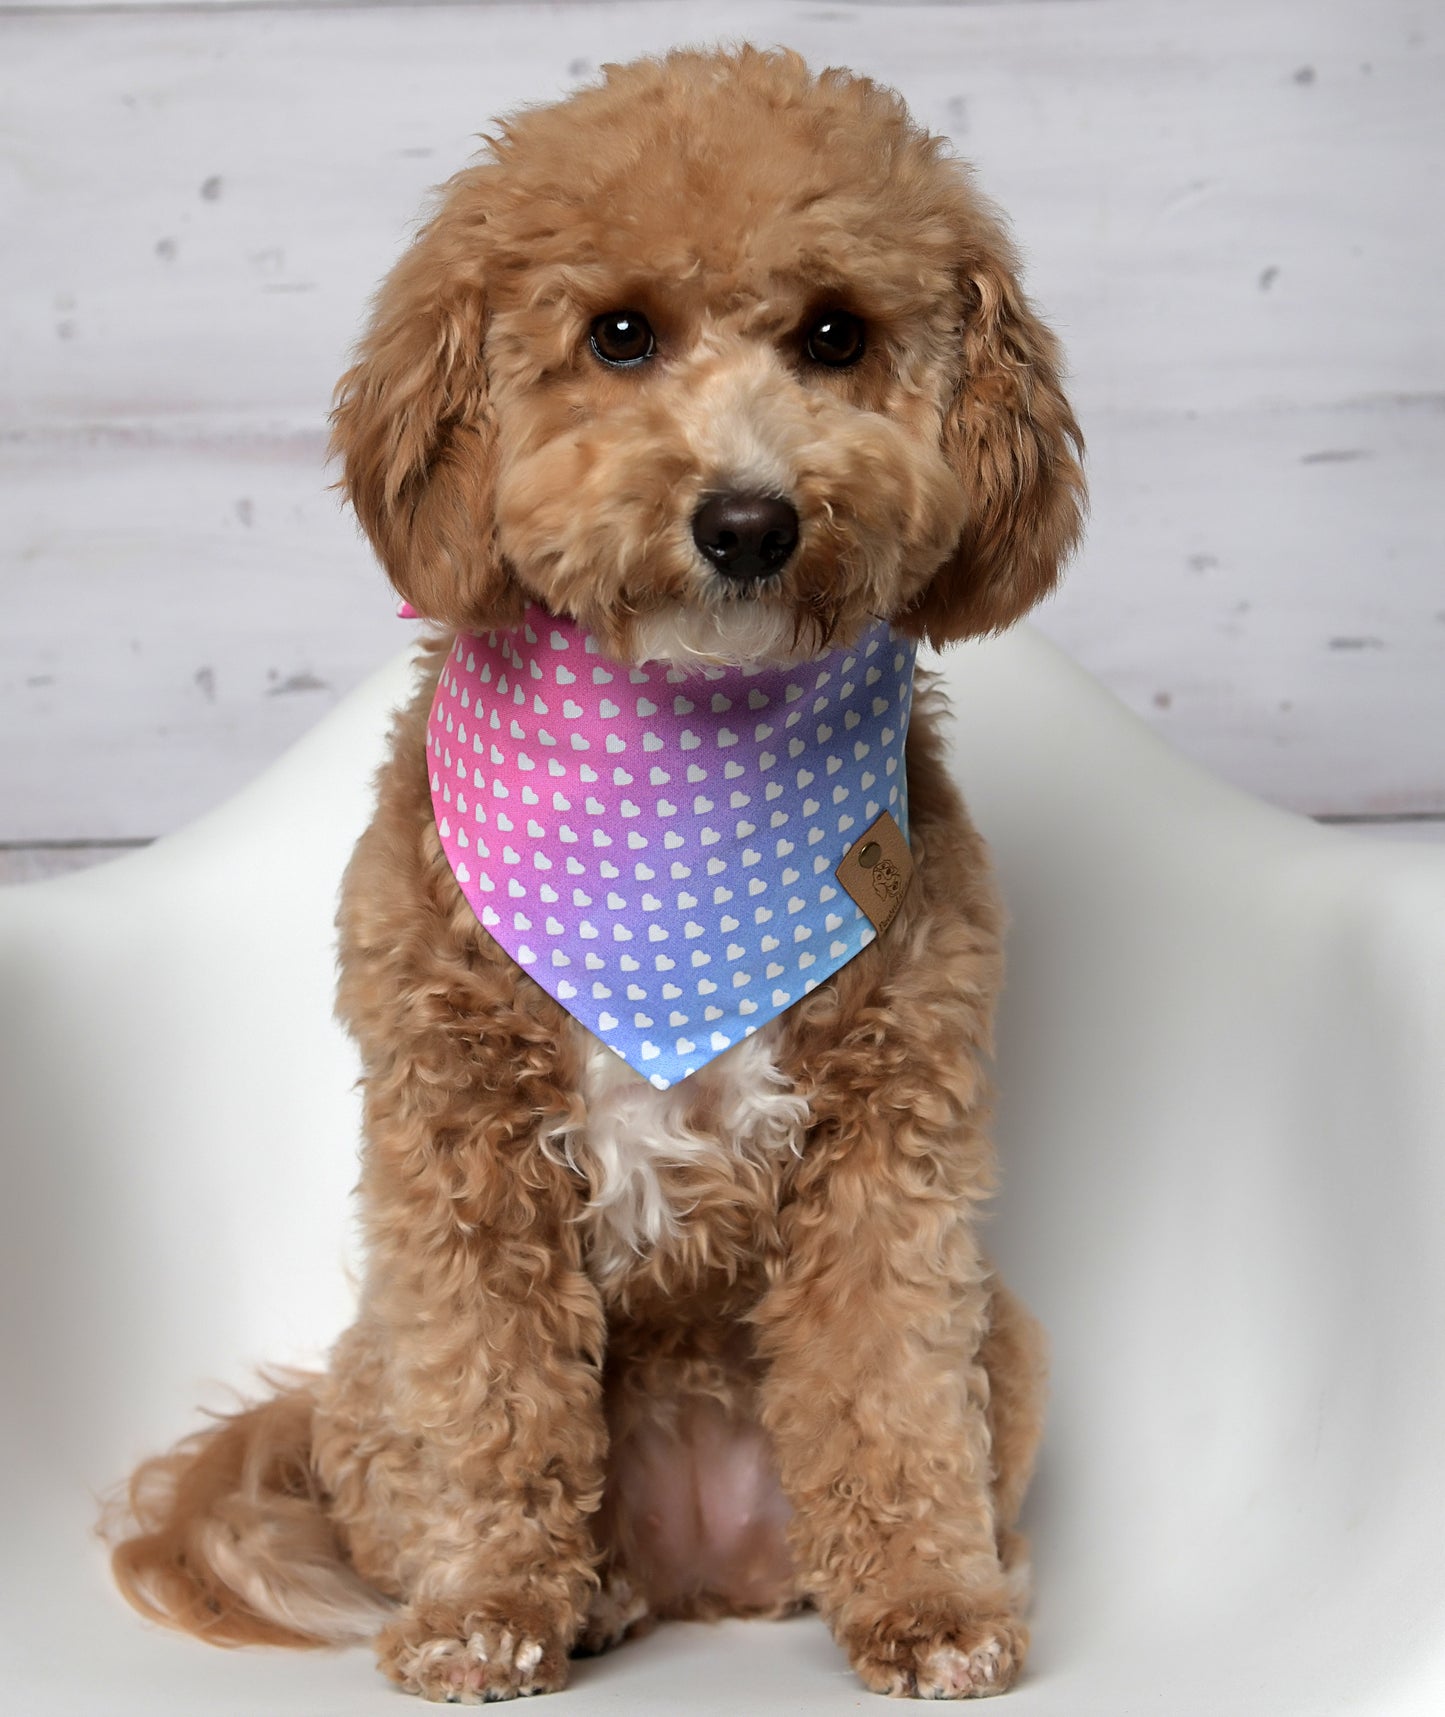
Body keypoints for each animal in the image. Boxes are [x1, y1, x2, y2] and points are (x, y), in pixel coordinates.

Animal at [109, 43, 1084, 1703]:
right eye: (618, 334)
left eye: (836, 334)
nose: (748, 518)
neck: (684, 773)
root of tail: (700, 1560)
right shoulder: (457, 1150)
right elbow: (490, 1397)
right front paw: (485, 1610)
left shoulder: (892, 1145)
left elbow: (887, 1381)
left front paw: (932, 1606)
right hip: (368, 1375)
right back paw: (587, 1595)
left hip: (1003, 1340)